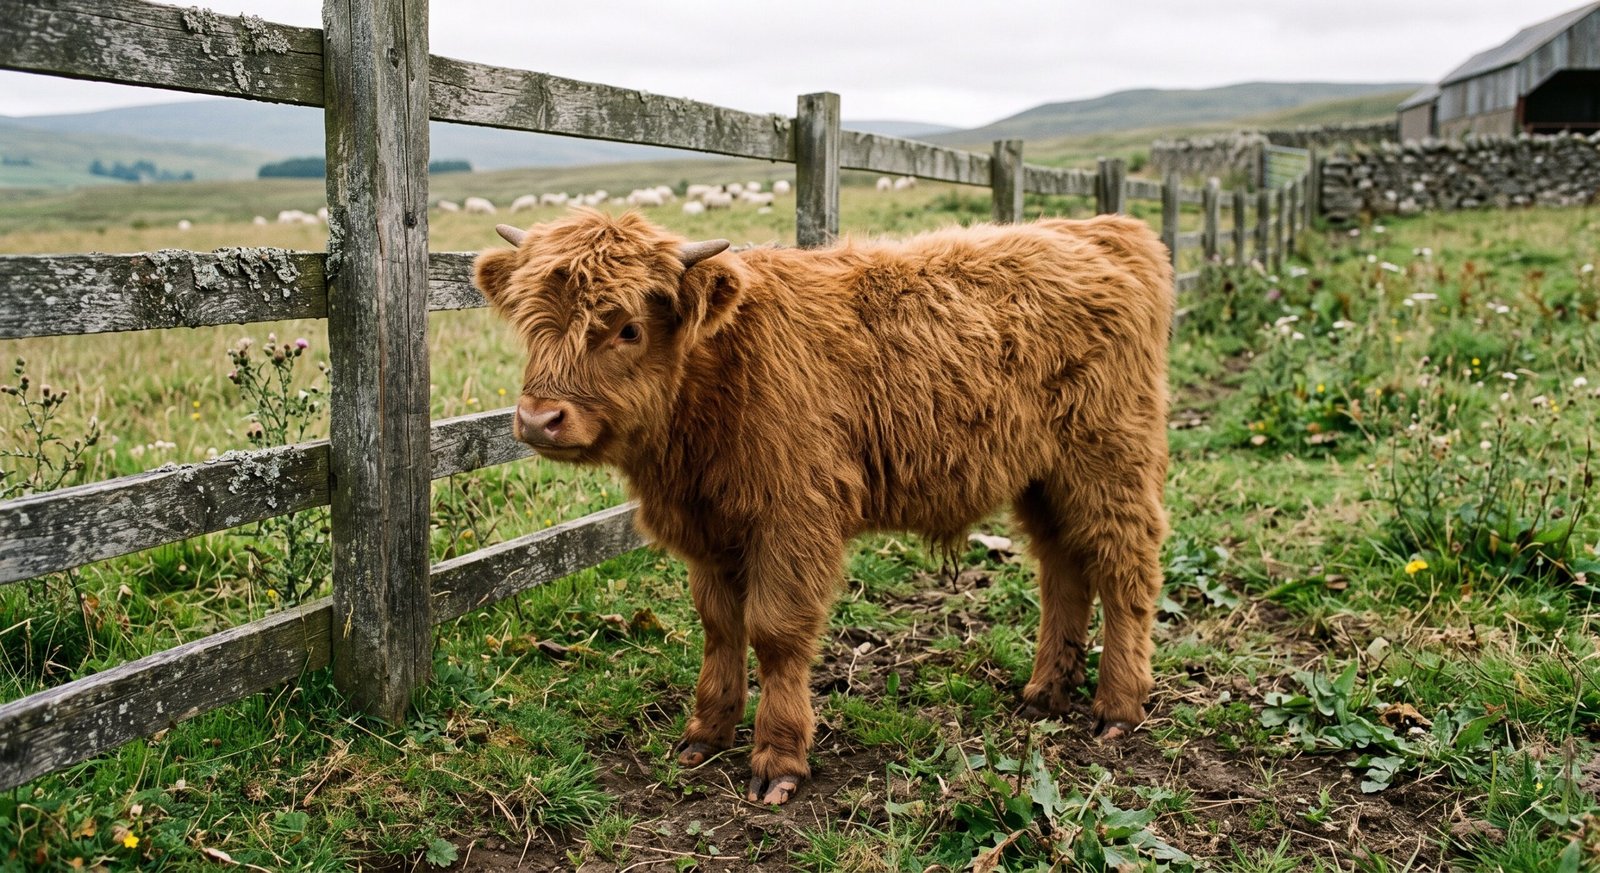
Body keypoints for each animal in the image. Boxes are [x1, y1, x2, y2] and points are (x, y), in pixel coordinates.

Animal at [474, 209, 1171, 805]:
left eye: (628, 328)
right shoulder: (709, 529)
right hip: (1043, 478)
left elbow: (775, 632)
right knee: (1063, 569)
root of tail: (1104, 229)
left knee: (1125, 570)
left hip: (1109, 462)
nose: (539, 419)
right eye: (532, 321)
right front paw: (705, 734)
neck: (716, 381)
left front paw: (778, 760)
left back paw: (1118, 706)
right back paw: (1046, 693)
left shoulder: (792, 519)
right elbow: (719, 626)